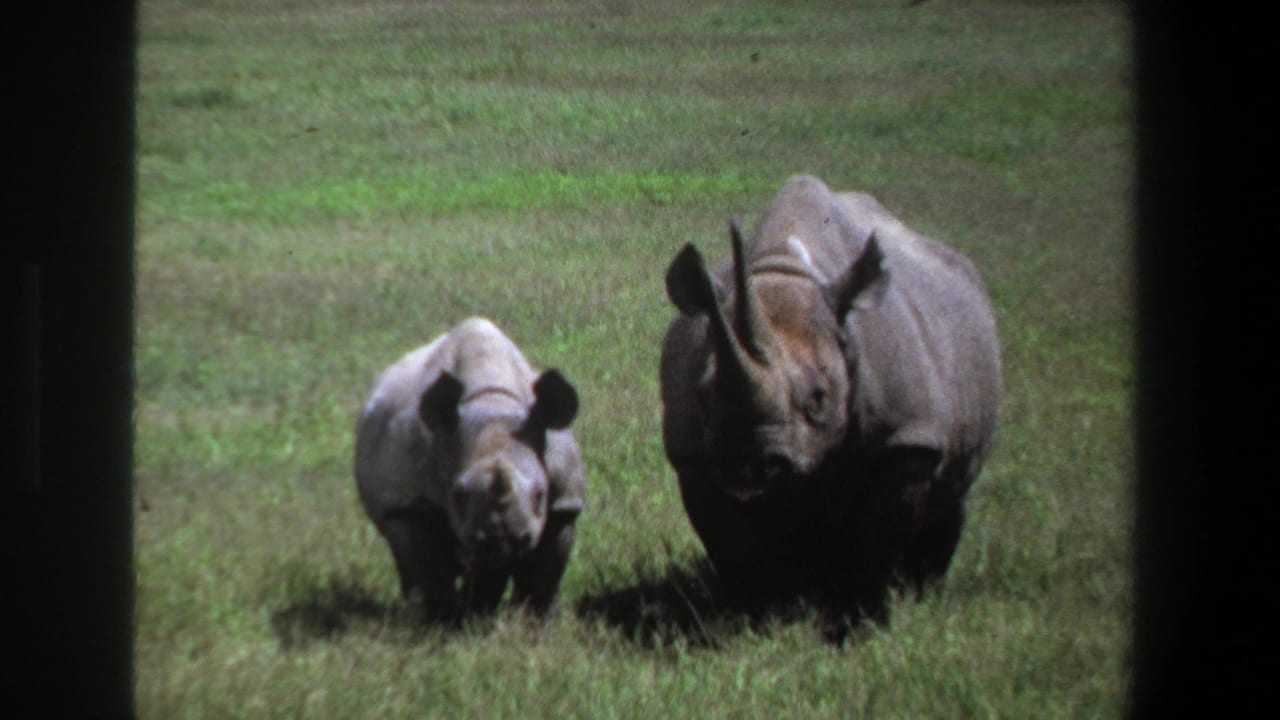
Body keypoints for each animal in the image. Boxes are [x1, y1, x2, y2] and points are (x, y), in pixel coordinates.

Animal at [355, 317, 585, 621]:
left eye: (540, 495)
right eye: (457, 496)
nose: (502, 540)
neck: (491, 401)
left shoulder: (564, 502)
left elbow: (542, 578)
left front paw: (533, 624)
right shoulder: (407, 503)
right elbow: (427, 572)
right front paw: (441, 624)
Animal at [660, 175, 1001, 622]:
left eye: (819, 398)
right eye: (703, 396)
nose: (748, 464)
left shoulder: (905, 439)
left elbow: (877, 540)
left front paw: (863, 618)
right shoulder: (694, 456)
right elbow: (733, 548)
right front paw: (758, 616)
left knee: (952, 496)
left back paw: (923, 593)